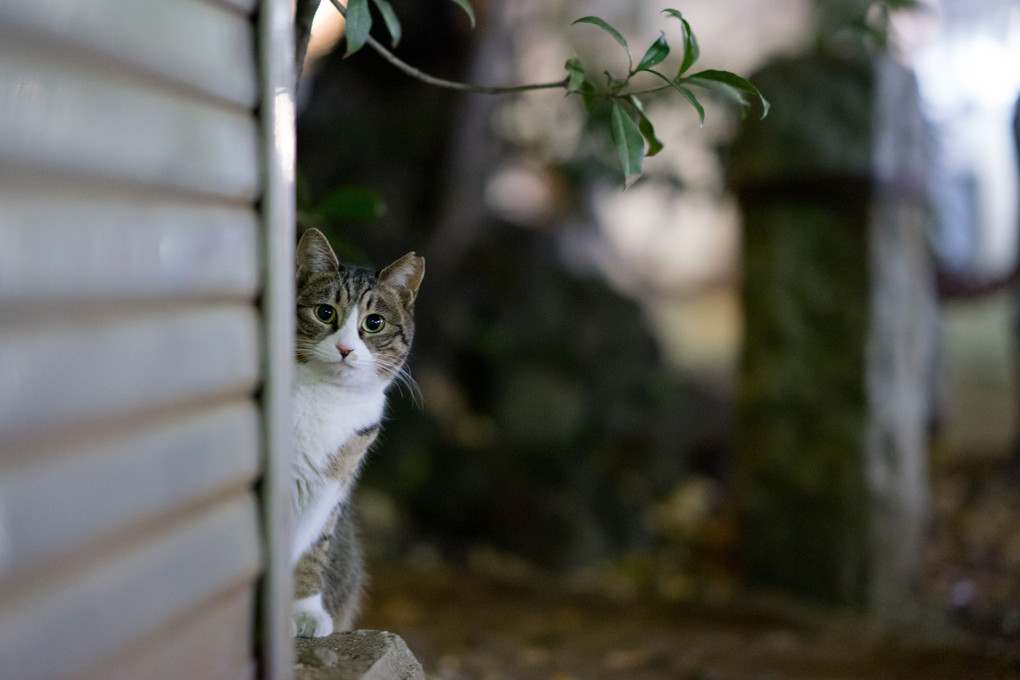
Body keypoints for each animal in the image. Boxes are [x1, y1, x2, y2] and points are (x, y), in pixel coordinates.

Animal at [291, 228, 426, 640]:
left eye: (374, 323)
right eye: (325, 312)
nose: (345, 348)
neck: (327, 397)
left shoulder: (329, 490)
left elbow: (313, 549)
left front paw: (303, 611)